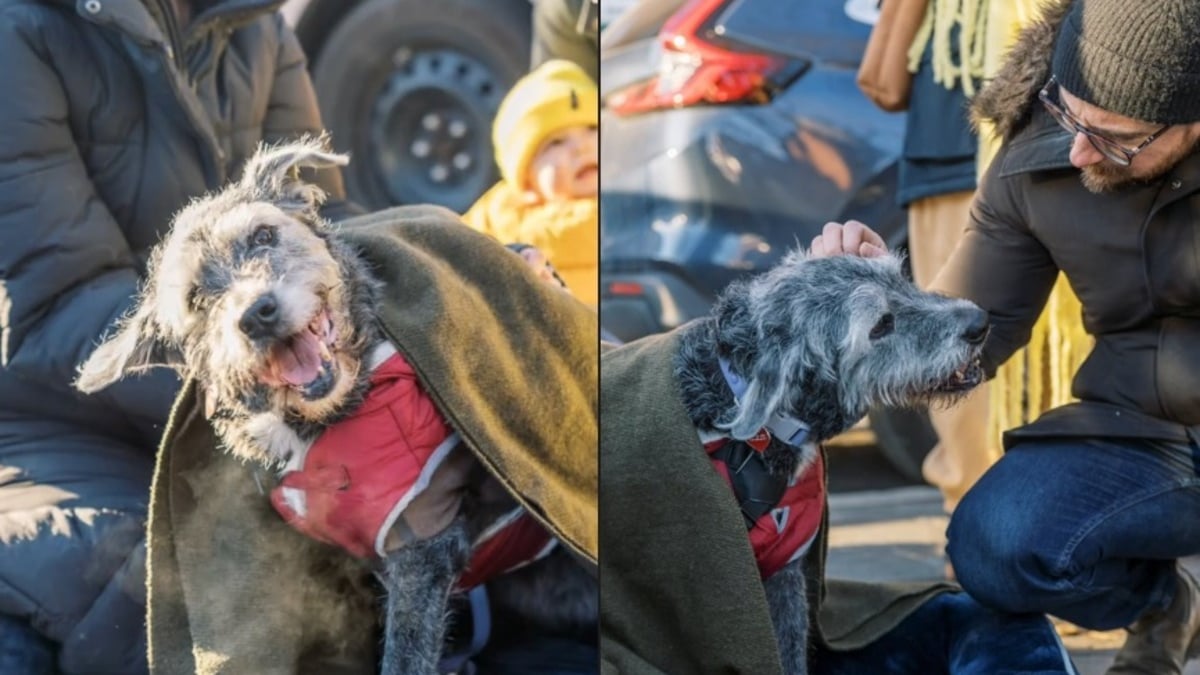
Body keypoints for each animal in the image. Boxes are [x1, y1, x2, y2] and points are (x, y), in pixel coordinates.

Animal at [77, 138, 592, 672]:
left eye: (263, 235)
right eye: (197, 297)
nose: (256, 314)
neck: (324, 423)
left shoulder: (421, 540)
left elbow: (405, 655)